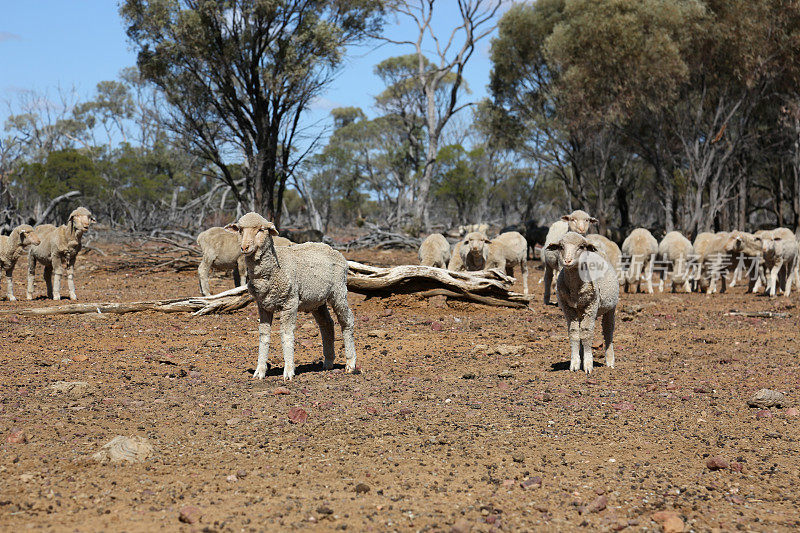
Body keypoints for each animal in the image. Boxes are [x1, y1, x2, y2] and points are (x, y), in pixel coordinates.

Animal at [222, 210, 354, 380]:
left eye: (261, 230)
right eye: (240, 230)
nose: (244, 247)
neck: (273, 270)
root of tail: (333, 249)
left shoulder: (290, 302)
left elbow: (286, 334)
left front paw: (289, 370)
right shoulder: (263, 305)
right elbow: (264, 336)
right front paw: (260, 371)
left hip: (339, 291)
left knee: (346, 320)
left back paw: (350, 363)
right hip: (317, 300)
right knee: (327, 324)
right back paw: (328, 362)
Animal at [544, 230, 620, 374]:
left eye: (581, 246)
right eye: (561, 246)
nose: (567, 261)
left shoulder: (591, 306)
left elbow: (587, 333)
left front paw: (588, 364)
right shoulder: (568, 308)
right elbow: (574, 333)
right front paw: (575, 363)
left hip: (610, 308)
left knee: (608, 331)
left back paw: (610, 362)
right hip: (581, 311)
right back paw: (581, 356)